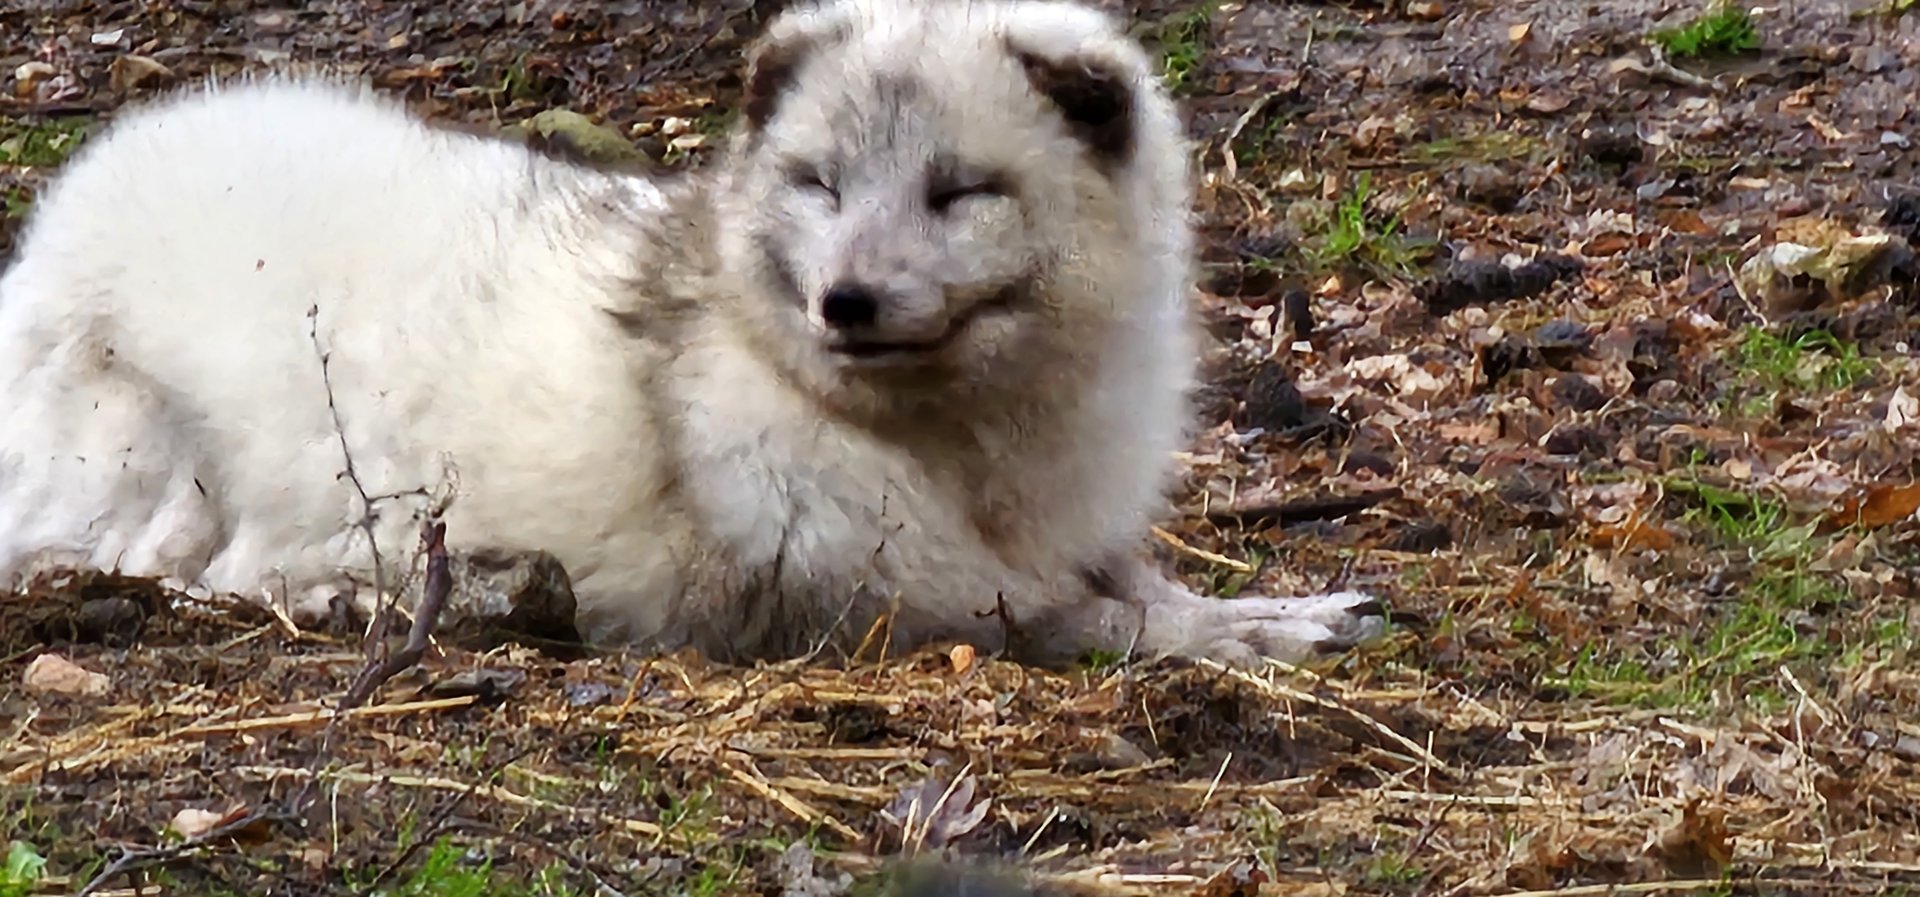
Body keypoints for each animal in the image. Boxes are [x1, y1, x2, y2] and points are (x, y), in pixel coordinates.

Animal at [0, 0, 1387, 668]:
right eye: (821, 185)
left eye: (959, 192)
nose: (847, 303)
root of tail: (43, 234)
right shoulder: (872, 602)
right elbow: (1095, 624)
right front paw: (1255, 637)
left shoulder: (1056, 533)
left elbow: (1141, 586)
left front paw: (1274, 604)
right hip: (158, 459)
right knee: (177, 566)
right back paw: (349, 594)